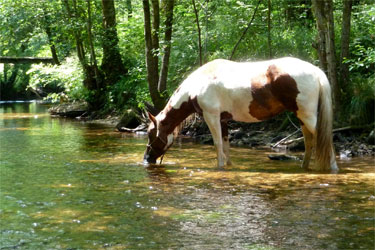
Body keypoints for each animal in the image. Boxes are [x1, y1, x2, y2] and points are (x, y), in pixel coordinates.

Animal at [143, 57, 338, 172]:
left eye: (151, 134)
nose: (146, 159)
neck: (197, 86)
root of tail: (316, 71)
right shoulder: (223, 120)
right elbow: (226, 145)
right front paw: (229, 166)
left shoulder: (211, 116)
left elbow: (217, 144)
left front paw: (220, 167)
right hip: (302, 117)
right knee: (309, 141)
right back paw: (304, 167)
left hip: (307, 116)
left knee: (324, 138)